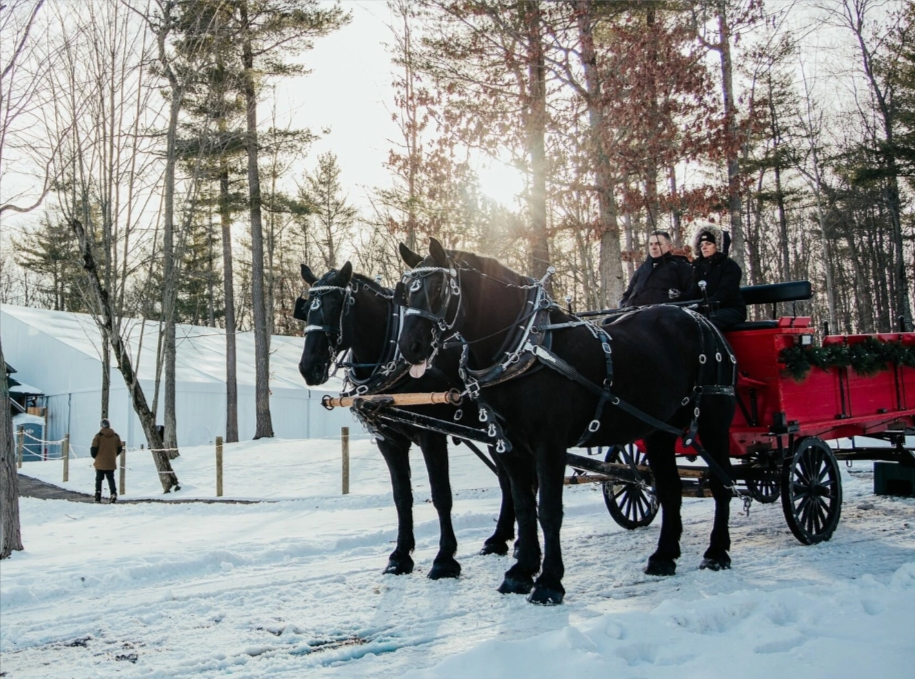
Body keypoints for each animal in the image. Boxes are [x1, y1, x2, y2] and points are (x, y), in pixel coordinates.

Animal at [296, 262, 517, 579]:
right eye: (306, 308)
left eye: (337, 304)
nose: (308, 367)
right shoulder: (389, 441)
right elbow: (402, 497)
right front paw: (400, 556)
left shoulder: (431, 435)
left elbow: (441, 494)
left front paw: (444, 559)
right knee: (507, 478)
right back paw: (499, 538)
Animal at [396, 239, 737, 604]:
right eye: (405, 292)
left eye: (438, 287)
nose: (409, 348)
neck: (523, 350)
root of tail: (698, 317)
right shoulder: (508, 445)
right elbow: (524, 505)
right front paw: (520, 572)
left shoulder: (550, 444)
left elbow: (548, 510)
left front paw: (548, 582)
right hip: (659, 429)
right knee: (670, 489)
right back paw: (664, 556)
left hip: (713, 423)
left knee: (722, 485)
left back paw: (717, 552)